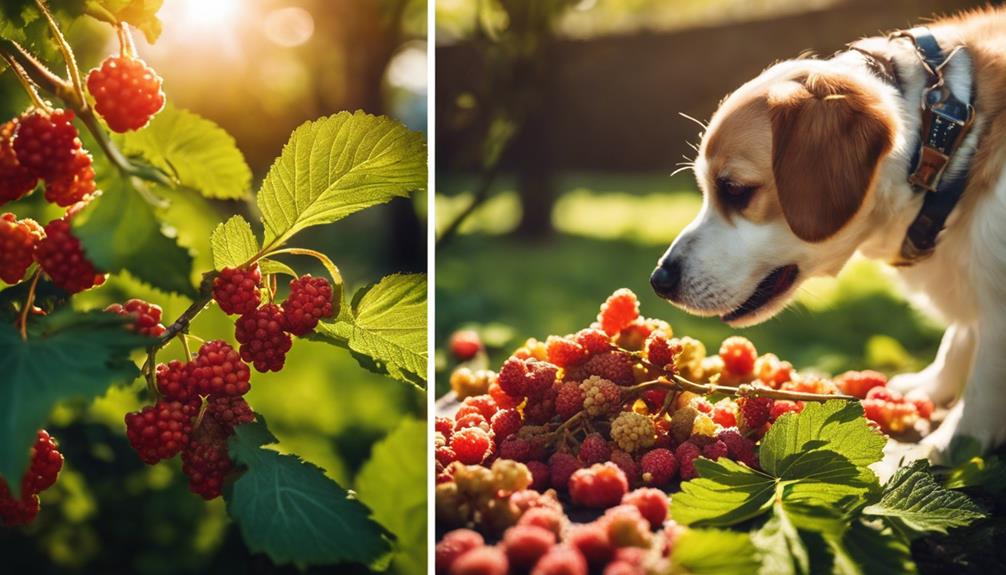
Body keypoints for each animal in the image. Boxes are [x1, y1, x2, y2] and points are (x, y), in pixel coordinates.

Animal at [651, 5, 1006, 462]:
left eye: (734, 189)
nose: (659, 280)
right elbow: (960, 338)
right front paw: (932, 389)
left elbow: (984, 376)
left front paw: (953, 443)